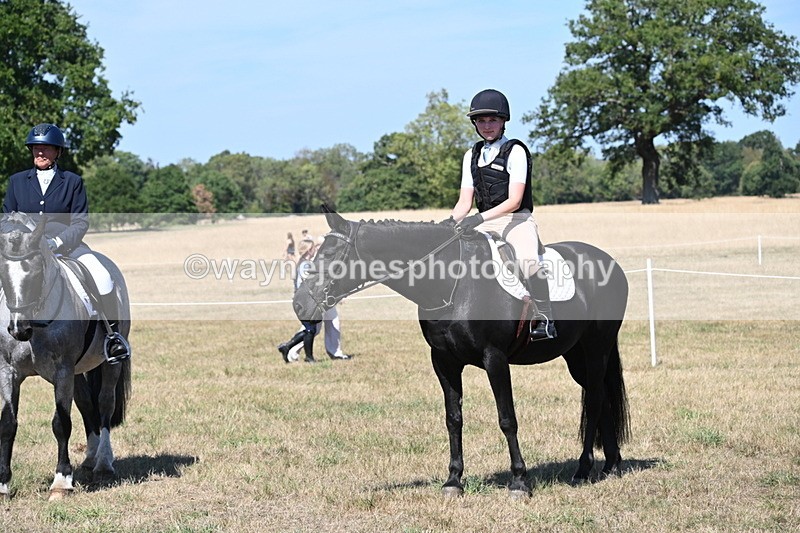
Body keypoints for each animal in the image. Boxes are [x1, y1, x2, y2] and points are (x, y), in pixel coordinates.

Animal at [0, 212, 131, 500]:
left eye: (36, 271)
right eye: (2, 273)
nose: (18, 329)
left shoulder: (62, 371)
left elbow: (61, 423)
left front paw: (61, 482)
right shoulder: (8, 372)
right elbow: (7, 423)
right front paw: (3, 484)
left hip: (108, 364)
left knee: (105, 403)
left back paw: (103, 462)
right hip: (78, 372)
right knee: (85, 404)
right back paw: (91, 457)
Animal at [293, 207, 630, 497]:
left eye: (330, 255)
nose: (299, 304)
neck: (451, 284)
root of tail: (608, 261)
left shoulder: (495, 359)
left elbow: (507, 418)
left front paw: (519, 481)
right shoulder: (444, 361)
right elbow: (453, 418)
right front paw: (454, 480)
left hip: (596, 348)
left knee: (595, 398)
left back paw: (583, 469)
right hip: (575, 354)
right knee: (599, 395)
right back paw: (611, 465)